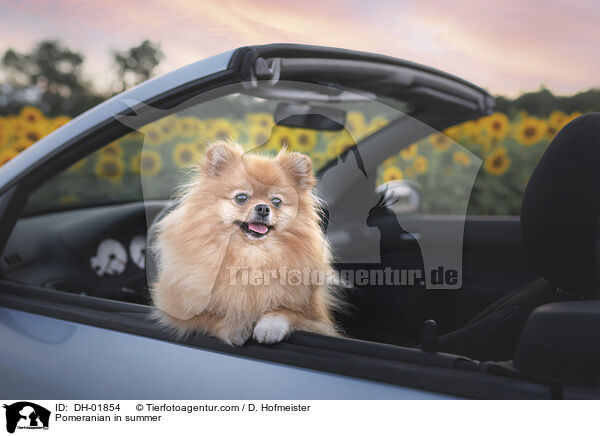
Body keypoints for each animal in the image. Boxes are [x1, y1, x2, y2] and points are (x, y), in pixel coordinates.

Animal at [149, 141, 340, 346]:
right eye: (241, 197)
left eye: (276, 201)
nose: (263, 208)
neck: (250, 255)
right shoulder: (174, 305)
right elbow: (206, 316)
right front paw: (234, 326)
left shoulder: (316, 316)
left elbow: (287, 311)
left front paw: (269, 326)